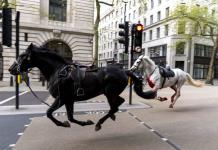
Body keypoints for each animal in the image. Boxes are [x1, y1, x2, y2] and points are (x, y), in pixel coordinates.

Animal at [8, 43, 155, 130]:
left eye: (22, 56)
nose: (11, 69)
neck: (57, 71)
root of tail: (124, 70)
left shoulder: (62, 98)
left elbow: (49, 113)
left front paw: (62, 124)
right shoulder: (69, 100)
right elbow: (70, 117)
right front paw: (82, 122)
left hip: (110, 93)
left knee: (115, 106)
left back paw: (100, 123)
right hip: (110, 93)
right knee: (118, 103)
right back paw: (110, 117)